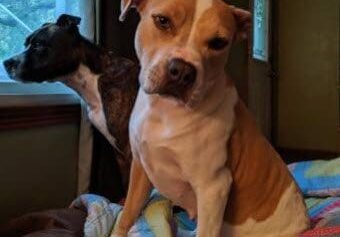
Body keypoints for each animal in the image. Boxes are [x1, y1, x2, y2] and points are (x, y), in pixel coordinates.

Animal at [2, 13, 138, 190]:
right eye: (26, 44)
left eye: (39, 45)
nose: (6, 63)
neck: (94, 78)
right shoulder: (120, 154)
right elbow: (127, 184)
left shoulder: (131, 151)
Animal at [113, 0, 310, 237]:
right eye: (162, 21)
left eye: (218, 43)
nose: (182, 71)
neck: (164, 111)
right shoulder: (140, 168)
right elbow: (126, 214)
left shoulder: (213, 188)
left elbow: (206, 230)